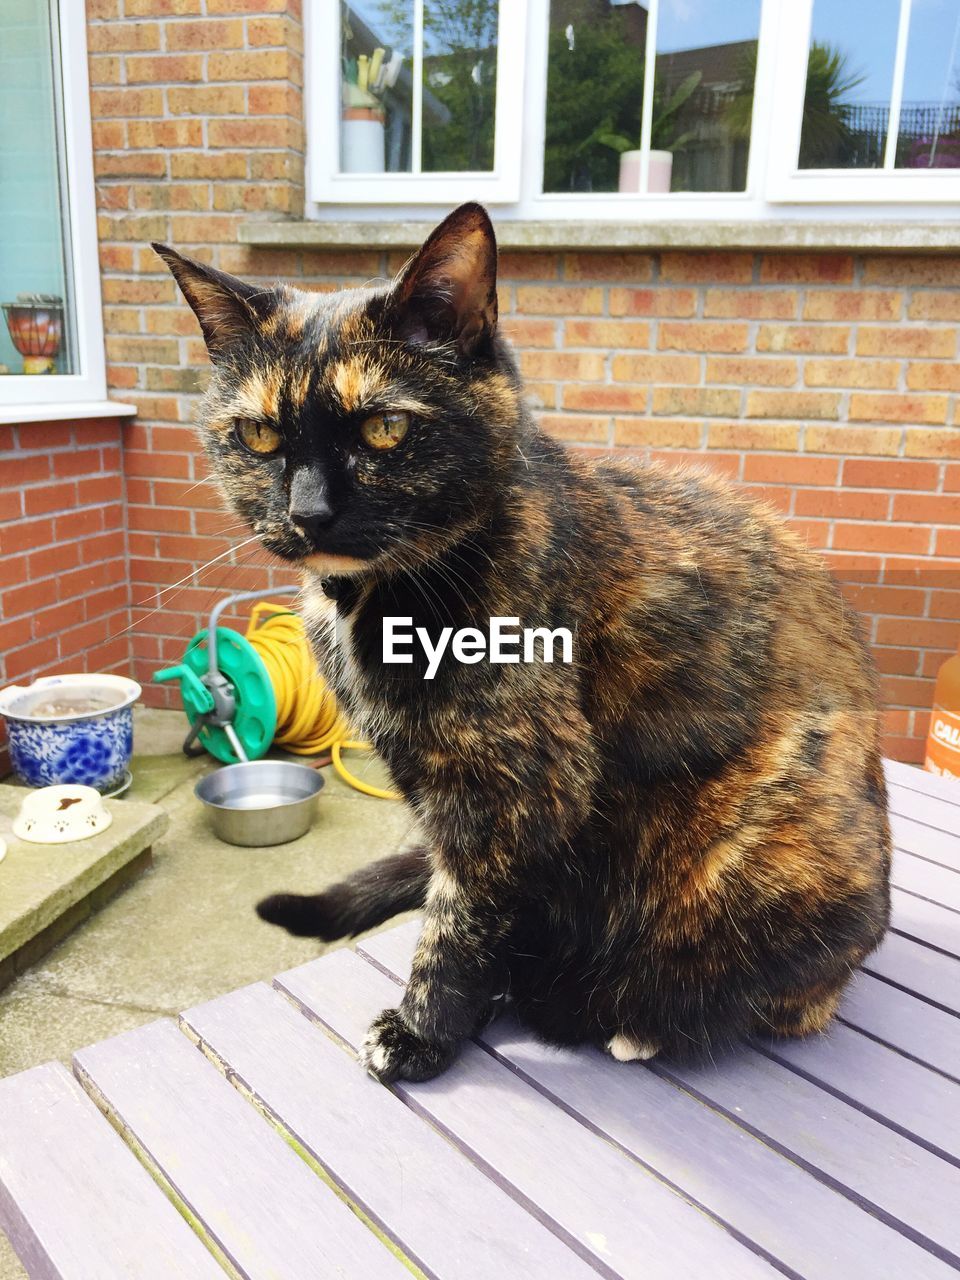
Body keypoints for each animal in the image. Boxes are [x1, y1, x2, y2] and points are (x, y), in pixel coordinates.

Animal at [156, 207, 896, 1080]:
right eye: (261, 435)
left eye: (385, 427)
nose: (308, 514)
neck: (373, 604)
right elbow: (477, 910)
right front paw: (473, 1005)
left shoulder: (515, 792)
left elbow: (460, 919)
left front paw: (421, 1031)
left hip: (770, 852)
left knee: (776, 997)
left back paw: (628, 1019)